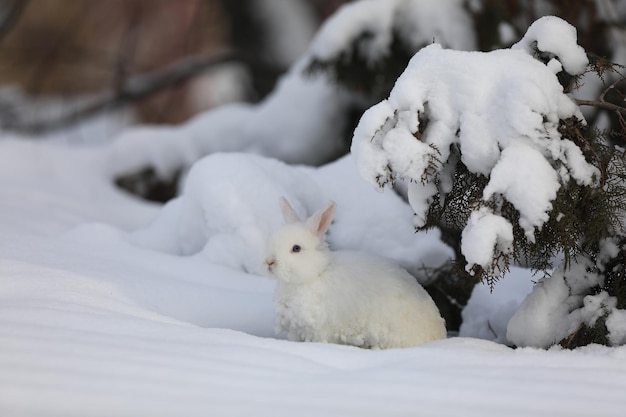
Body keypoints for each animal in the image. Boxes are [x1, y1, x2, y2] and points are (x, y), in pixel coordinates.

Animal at [260, 197, 446, 346]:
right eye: (271, 240)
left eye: (296, 248)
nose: (269, 262)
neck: (315, 275)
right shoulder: (296, 330)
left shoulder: (320, 331)